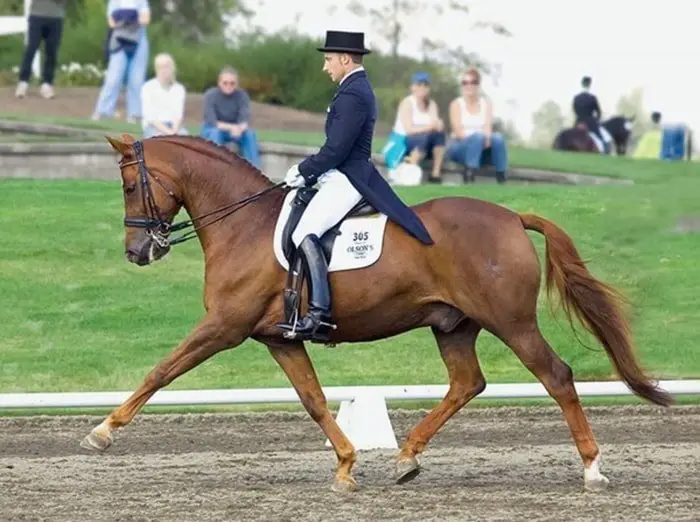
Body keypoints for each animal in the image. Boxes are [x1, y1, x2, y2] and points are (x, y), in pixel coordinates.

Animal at [82, 133, 672, 492]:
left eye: (130, 185)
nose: (137, 253)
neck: (242, 224)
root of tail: (510, 216)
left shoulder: (223, 327)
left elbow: (161, 370)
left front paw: (102, 432)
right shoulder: (279, 338)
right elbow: (315, 401)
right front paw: (346, 466)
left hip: (512, 323)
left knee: (557, 376)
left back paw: (592, 468)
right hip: (453, 325)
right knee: (467, 383)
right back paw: (406, 458)